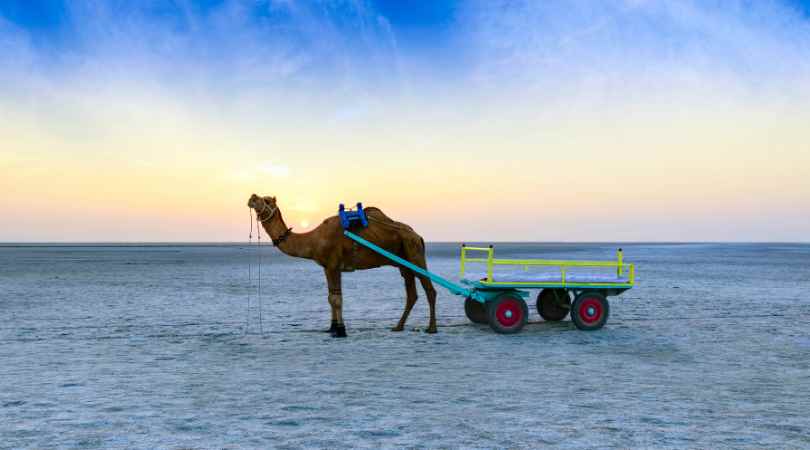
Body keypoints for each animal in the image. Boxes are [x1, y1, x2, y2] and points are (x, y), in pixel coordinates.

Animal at [246, 193, 436, 338]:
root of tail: (417, 235)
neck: (313, 240)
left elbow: (337, 299)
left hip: (414, 252)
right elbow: (330, 297)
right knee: (411, 293)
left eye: (267, 200)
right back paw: (398, 327)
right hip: (404, 262)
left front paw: (341, 330)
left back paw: (431, 328)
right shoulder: (326, 267)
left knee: (429, 289)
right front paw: (332, 328)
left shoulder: (333, 264)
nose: (252, 197)